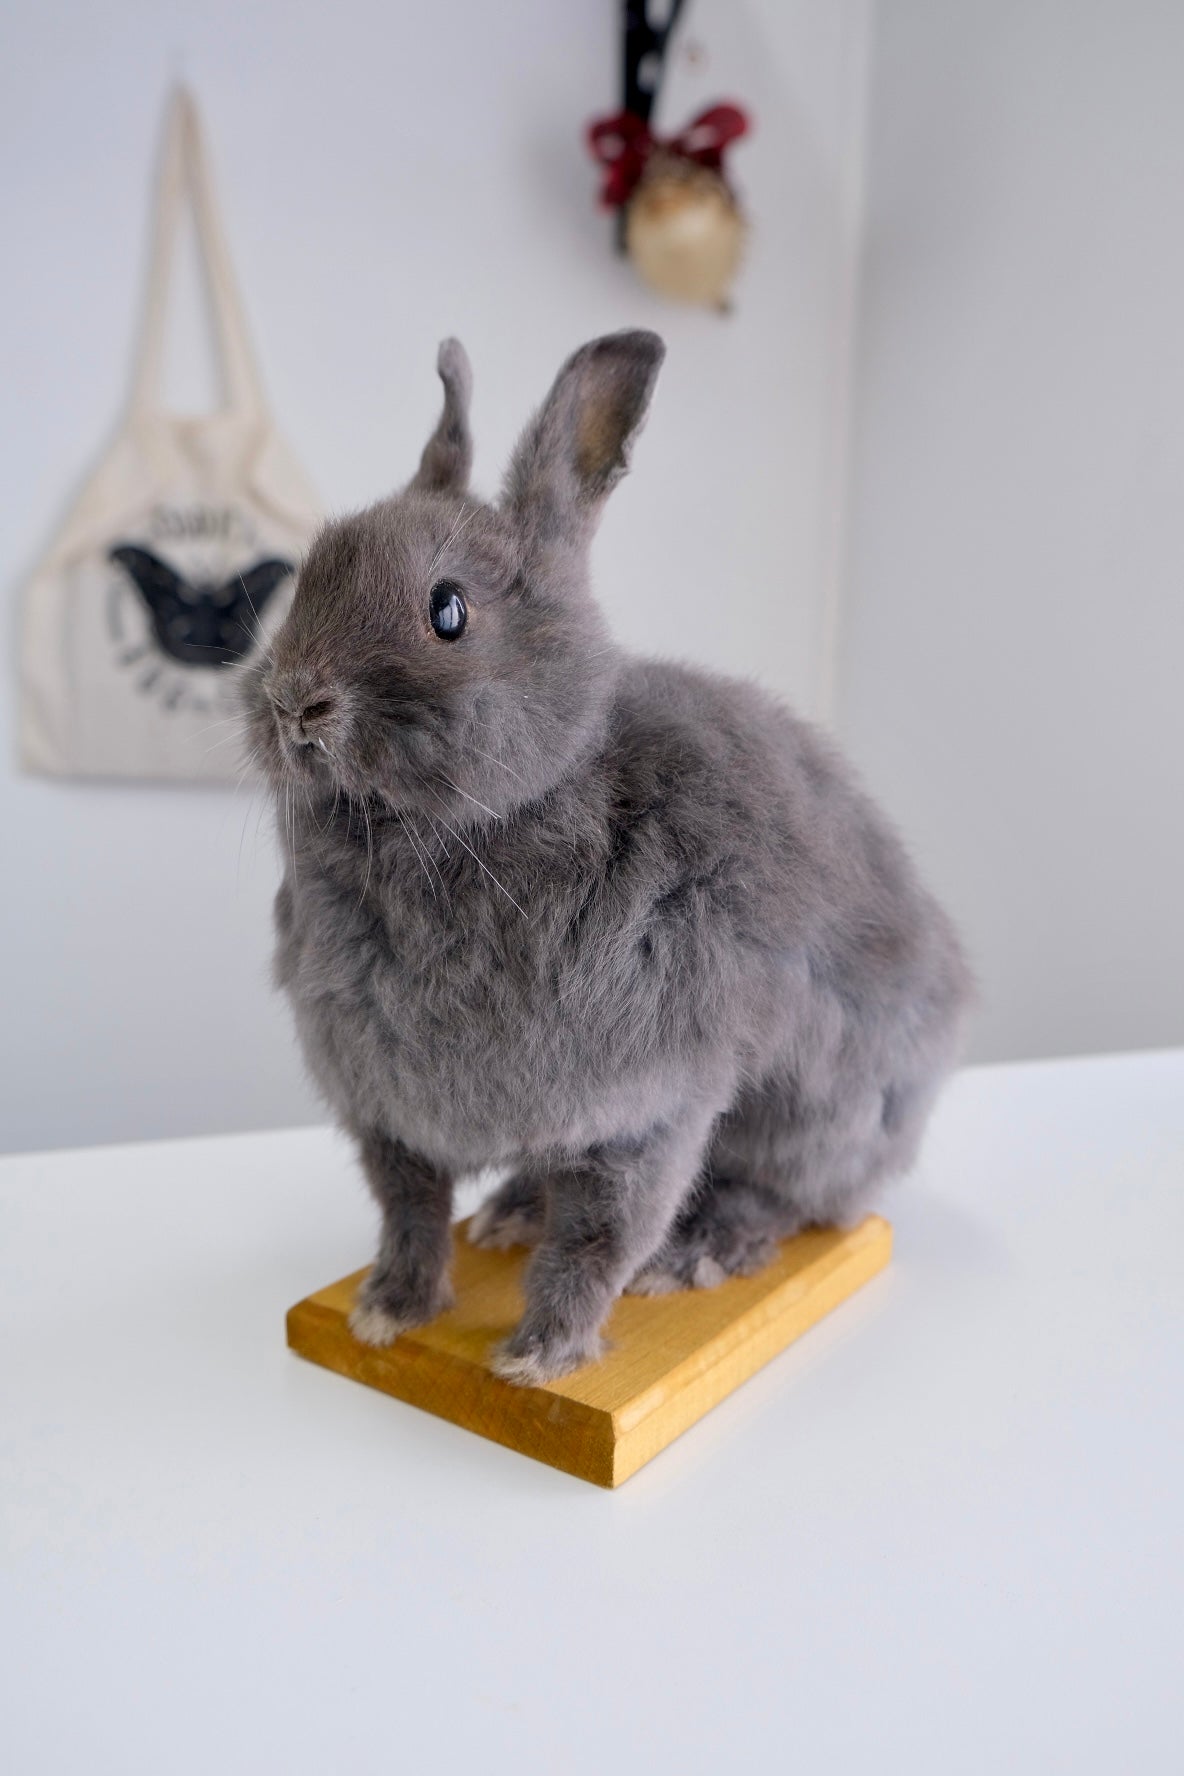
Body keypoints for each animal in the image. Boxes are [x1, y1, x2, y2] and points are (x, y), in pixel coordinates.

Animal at [243, 333, 972, 1385]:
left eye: (448, 611)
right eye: (309, 579)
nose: (296, 700)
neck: (476, 825)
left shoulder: (646, 1112)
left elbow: (597, 1242)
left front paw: (538, 1359)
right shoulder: (389, 1113)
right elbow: (409, 1215)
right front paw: (386, 1316)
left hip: (824, 1109)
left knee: (794, 1199)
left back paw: (704, 1247)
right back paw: (508, 1215)